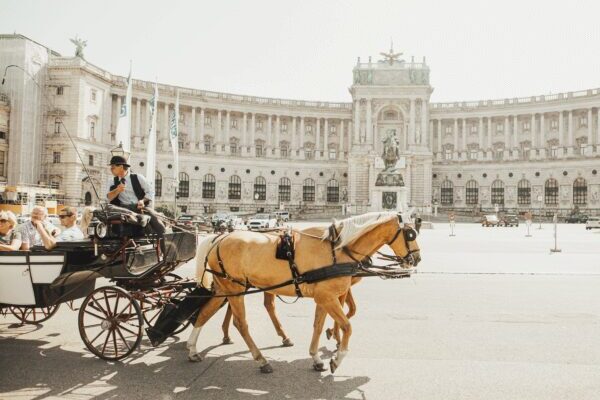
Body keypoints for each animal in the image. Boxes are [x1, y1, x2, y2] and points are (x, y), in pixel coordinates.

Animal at [185, 211, 420, 374]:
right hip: (234, 287)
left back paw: (193, 350)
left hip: (226, 288)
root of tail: (219, 238)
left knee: (205, 312)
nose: (417, 259)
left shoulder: (324, 297)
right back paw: (262, 360)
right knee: (241, 323)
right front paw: (337, 358)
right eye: (410, 234)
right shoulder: (328, 297)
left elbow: (319, 326)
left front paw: (317, 357)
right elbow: (347, 325)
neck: (337, 250)